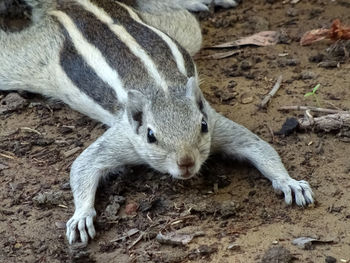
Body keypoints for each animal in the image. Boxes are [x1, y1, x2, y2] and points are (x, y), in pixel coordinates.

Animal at [0, 0, 312, 248]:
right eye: (151, 135)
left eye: (202, 126)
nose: (186, 163)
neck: (161, 90)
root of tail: (75, 5)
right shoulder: (123, 138)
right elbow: (83, 165)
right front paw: (81, 215)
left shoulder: (217, 123)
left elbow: (258, 146)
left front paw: (290, 183)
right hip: (26, 62)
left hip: (184, 29)